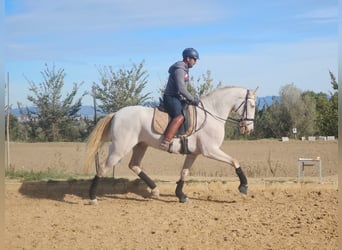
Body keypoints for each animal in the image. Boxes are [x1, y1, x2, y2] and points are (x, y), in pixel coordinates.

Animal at [84, 85, 258, 203]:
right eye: (252, 105)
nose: (249, 129)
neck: (211, 114)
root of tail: (117, 114)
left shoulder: (194, 153)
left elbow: (184, 173)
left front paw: (181, 195)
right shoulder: (211, 150)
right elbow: (234, 161)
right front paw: (243, 187)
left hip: (141, 145)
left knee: (134, 165)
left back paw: (155, 190)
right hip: (120, 148)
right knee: (103, 167)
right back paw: (92, 197)